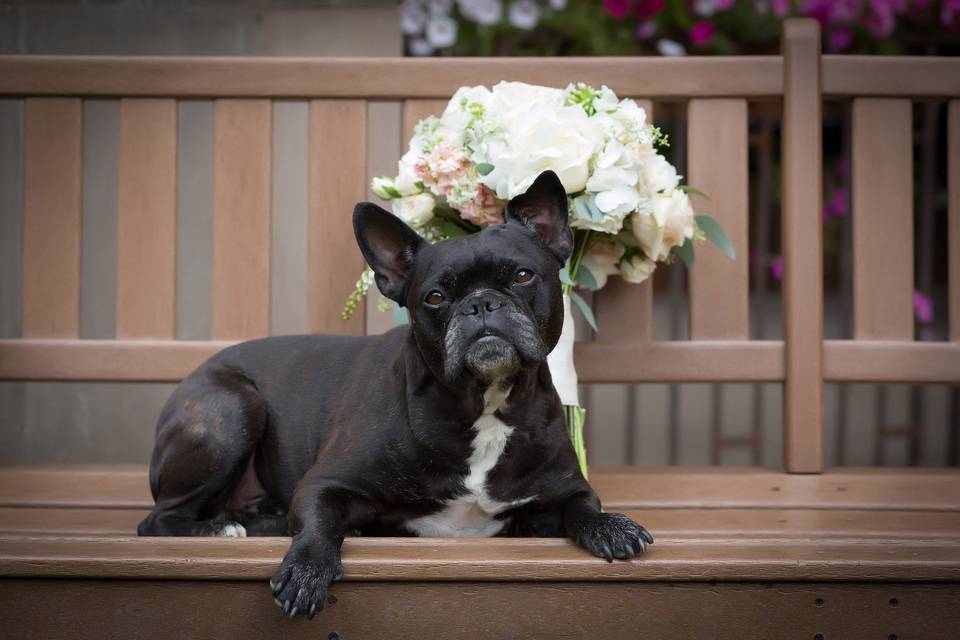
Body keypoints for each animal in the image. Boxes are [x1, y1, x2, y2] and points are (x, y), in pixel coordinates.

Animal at [137, 170, 652, 620]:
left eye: (524, 276)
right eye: (435, 298)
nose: (481, 303)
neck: (483, 406)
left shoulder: (566, 488)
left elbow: (584, 508)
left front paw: (611, 526)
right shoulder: (324, 483)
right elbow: (318, 524)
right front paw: (306, 570)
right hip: (232, 410)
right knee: (158, 520)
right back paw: (223, 526)